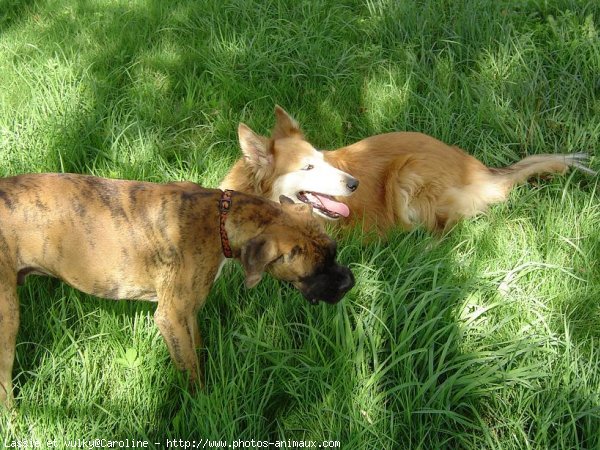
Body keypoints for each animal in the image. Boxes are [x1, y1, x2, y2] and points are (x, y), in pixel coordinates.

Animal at [0, 174, 354, 406]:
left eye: (334, 251)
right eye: (316, 269)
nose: (350, 281)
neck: (220, 217)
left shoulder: (188, 311)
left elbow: (196, 348)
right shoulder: (170, 317)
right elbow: (191, 371)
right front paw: (202, 404)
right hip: (7, 321)